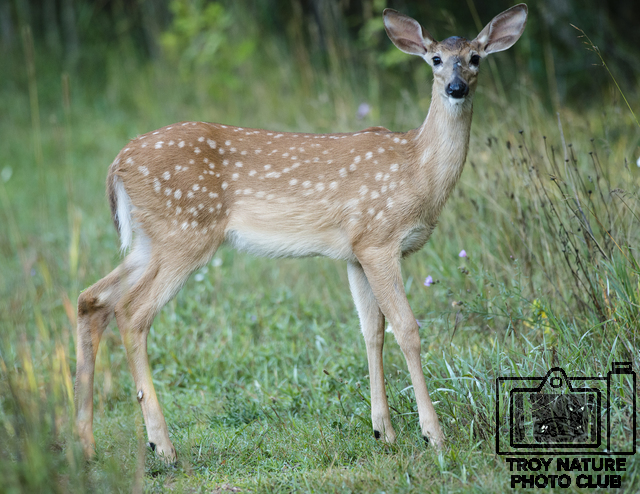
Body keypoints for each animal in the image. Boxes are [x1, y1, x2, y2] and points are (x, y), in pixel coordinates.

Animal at [74, 4, 527, 462]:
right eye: (436, 59)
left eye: (475, 58)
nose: (456, 87)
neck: (419, 171)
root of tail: (118, 163)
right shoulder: (378, 238)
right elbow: (407, 330)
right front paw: (432, 434)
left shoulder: (354, 253)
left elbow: (372, 332)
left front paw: (383, 431)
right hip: (185, 232)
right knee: (132, 312)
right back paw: (161, 444)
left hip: (151, 240)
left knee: (92, 299)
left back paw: (86, 443)